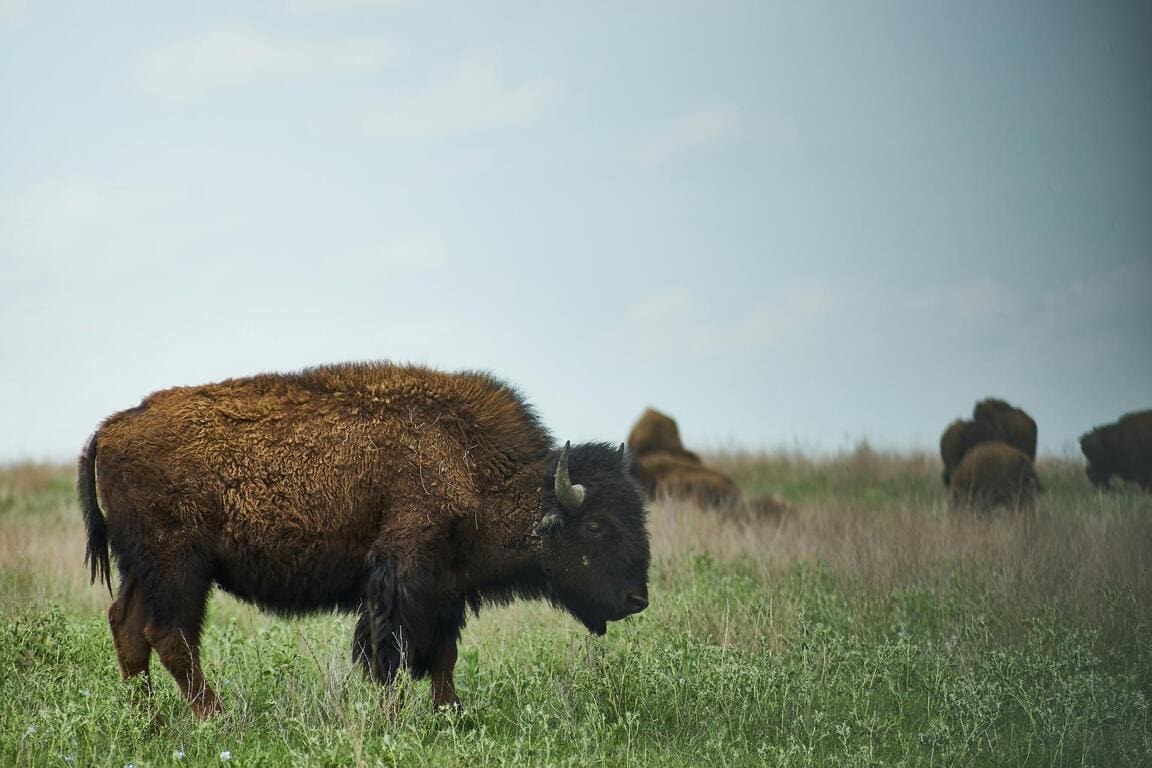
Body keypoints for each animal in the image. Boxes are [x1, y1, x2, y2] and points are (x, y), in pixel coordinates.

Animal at [79, 362, 650, 717]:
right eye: (595, 526)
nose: (636, 599)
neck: (468, 463)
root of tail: (110, 429)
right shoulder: (401, 574)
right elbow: (391, 653)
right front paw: (394, 719)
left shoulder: (446, 588)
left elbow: (443, 656)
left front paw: (451, 715)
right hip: (178, 566)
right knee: (169, 636)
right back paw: (216, 718)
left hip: (142, 568)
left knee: (128, 629)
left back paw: (149, 722)